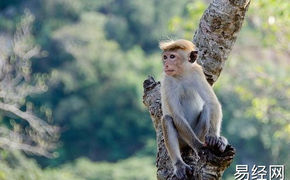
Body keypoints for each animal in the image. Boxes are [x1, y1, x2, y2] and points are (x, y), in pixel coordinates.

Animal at [160, 39, 228, 179]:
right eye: (165, 57)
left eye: (172, 56)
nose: (166, 64)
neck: (181, 75)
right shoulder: (168, 80)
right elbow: (176, 115)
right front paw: (199, 147)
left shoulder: (197, 73)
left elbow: (212, 102)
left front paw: (214, 137)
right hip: (183, 139)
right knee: (167, 119)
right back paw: (180, 164)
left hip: (198, 133)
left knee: (206, 108)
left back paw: (219, 140)